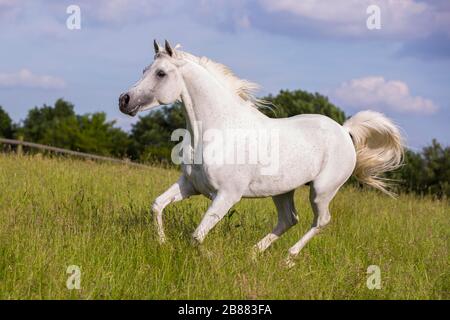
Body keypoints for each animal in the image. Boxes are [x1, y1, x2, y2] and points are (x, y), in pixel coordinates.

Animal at [118, 40, 402, 264]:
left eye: (161, 73)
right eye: (145, 70)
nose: (124, 100)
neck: (216, 130)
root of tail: (344, 131)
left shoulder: (226, 196)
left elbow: (196, 236)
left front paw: (208, 257)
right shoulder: (190, 186)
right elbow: (157, 205)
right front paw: (162, 243)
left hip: (321, 191)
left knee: (320, 221)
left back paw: (288, 258)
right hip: (283, 191)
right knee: (289, 219)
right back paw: (252, 254)